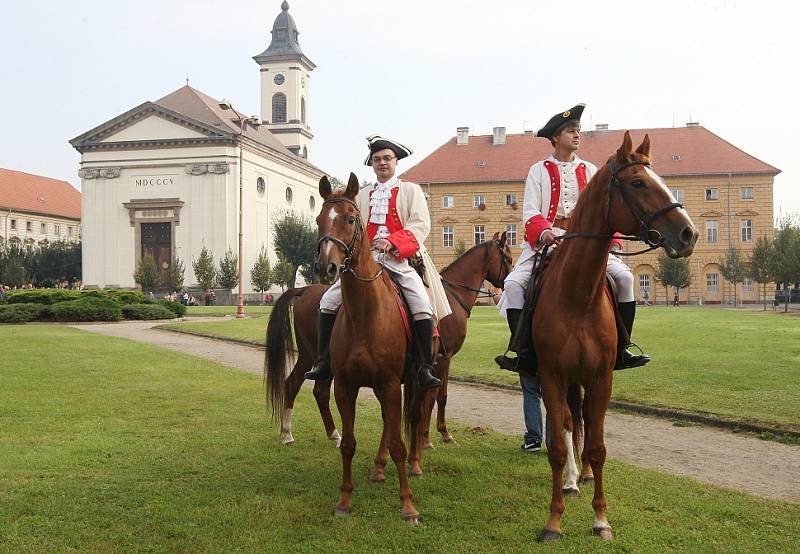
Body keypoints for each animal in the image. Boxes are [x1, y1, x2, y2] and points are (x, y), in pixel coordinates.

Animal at [262, 233, 512, 452]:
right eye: (508, 258)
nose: (507, 285)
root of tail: (304, 290)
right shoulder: (444, 359)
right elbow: (437, 398)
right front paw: (434, 436)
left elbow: (427, 399)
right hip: (318, 358)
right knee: (314, 390)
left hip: (310, 357)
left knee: (298, 386)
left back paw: (302, 434)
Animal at [536, 133, 696, 540]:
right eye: (638, 182)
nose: (688, 233)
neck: (578, 295)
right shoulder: (552, 377)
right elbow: (558, 445)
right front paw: (554, 520)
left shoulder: (601, 378)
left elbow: (598, 447)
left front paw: (601, 519)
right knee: (569, 422)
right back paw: (572, 480)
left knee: (586, 425)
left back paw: (584, 476)